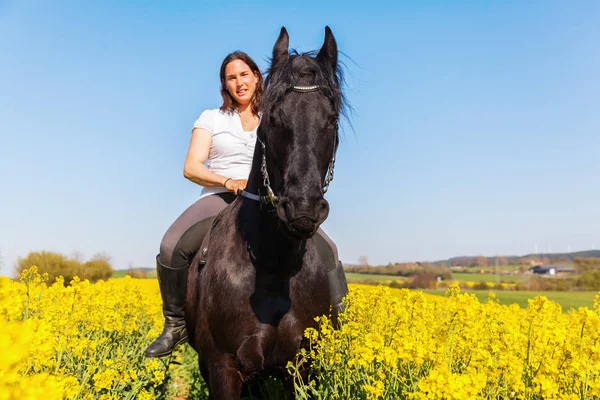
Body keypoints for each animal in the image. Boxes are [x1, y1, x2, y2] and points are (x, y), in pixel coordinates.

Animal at [185, 26, 344, 398]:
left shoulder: (301, 371)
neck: (273, 264)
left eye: (331, 119)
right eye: (272, 118)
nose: (302, 208)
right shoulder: (222, 369)